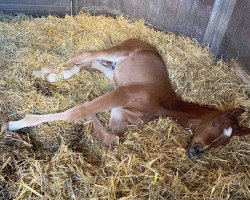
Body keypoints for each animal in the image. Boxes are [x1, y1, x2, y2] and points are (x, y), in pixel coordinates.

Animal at [2, 38, 249, 159]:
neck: (164, 104)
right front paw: (16, 123)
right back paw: (42, 72)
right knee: (87, 55)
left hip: (113, 71)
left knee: (90, 63)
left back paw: (54, 76)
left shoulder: (119, 113)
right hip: (115, 53)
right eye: (214, 123)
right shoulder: (123, 93)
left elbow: (110, 136)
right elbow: (79, 111)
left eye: (224, 142)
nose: (197, 152)